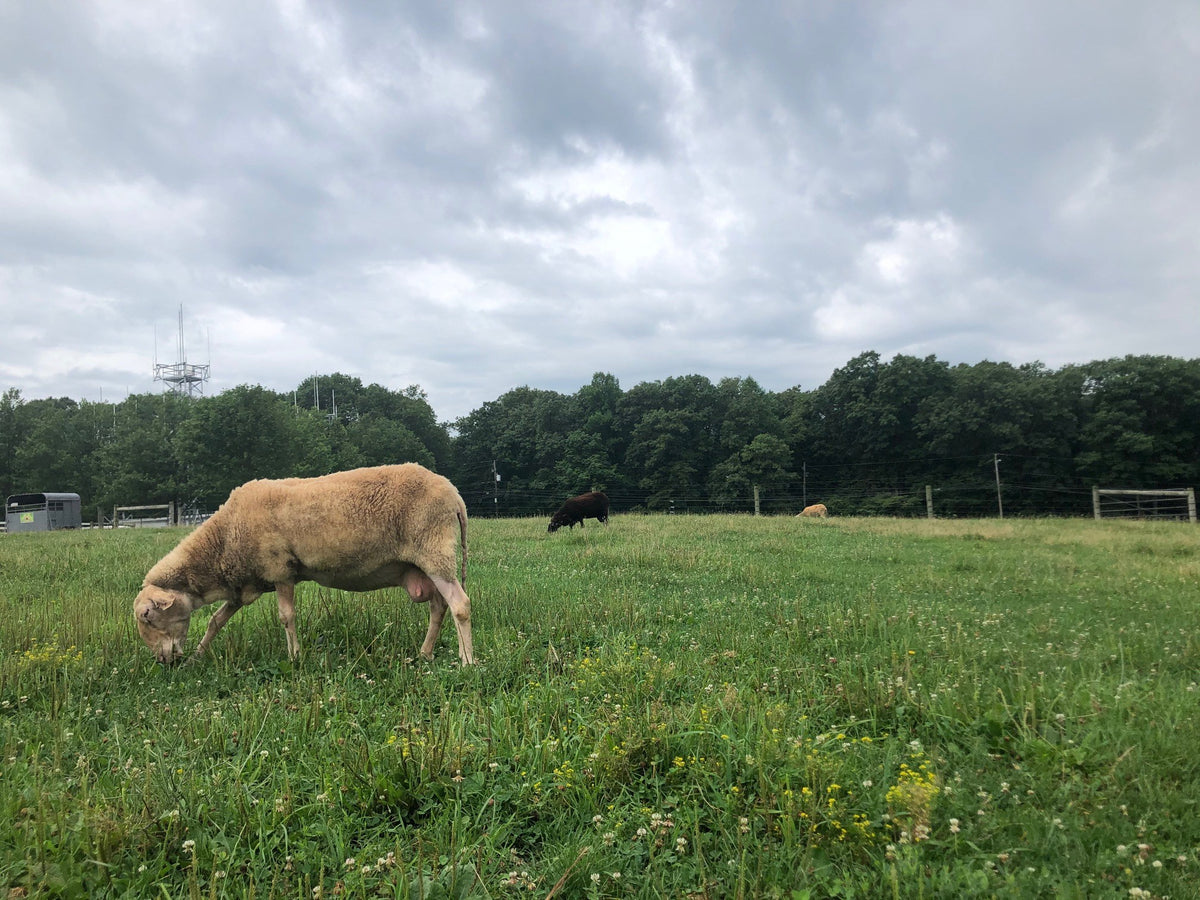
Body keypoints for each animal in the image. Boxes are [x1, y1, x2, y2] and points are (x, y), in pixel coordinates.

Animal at [133, 463, 473, 666]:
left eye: (148, 615)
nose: (163, 662)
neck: (223, 539)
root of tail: (455, 494)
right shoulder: (247, 584)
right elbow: (216, 620)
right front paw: (198, 656)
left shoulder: (279, 568)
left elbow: (287, 617)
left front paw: (295, 657)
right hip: (427, 562)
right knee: (438, 608)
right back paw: (425, 654)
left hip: (435, 551)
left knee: (460, 604)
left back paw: (467, 661)